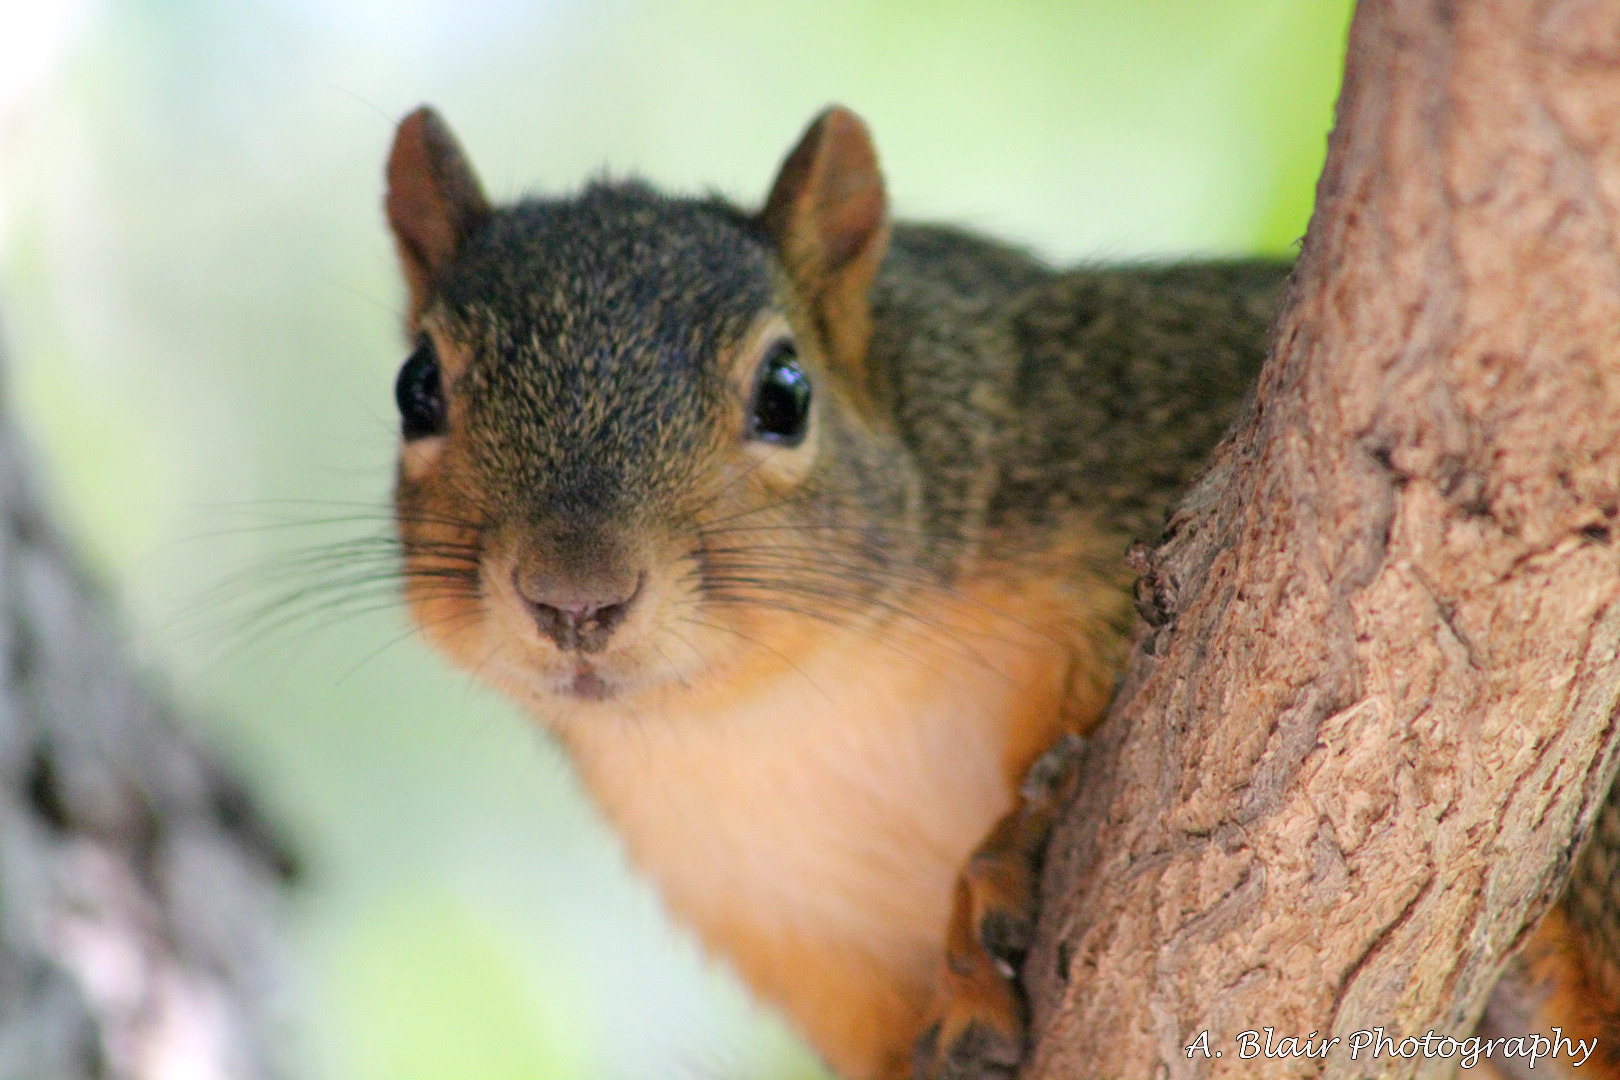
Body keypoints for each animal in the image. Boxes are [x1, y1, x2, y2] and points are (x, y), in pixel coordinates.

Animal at [377, 103, 1620, 1080]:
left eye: (786, 391)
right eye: (415, 388)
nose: (573, 596)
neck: (783, 714)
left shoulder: (1147, 429)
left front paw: (1008, 852)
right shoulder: (791, 930)